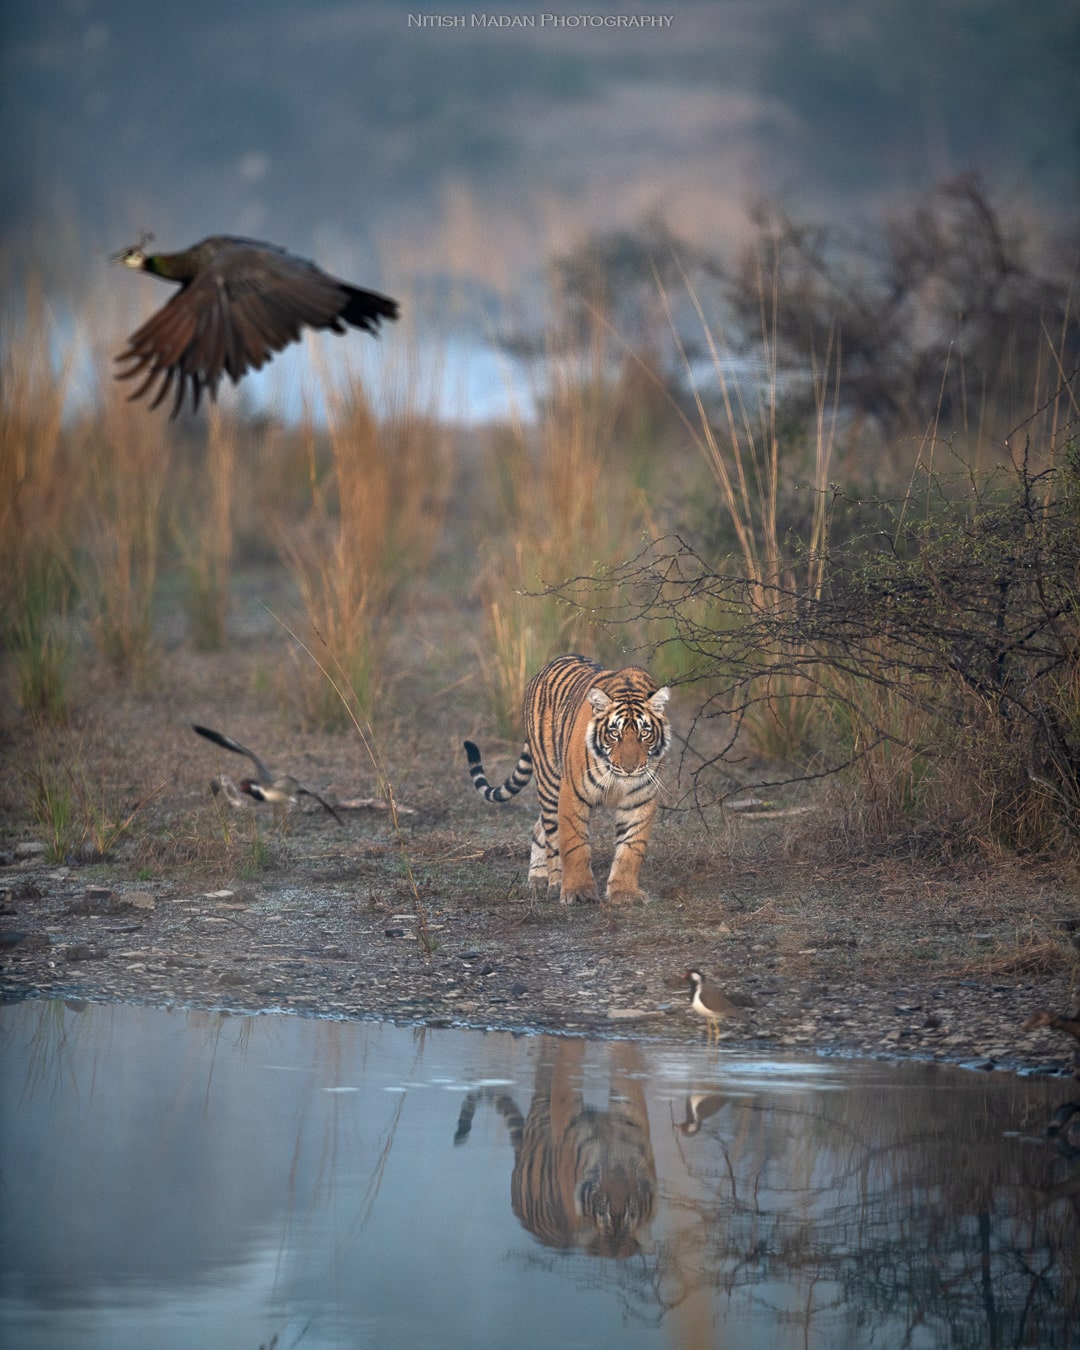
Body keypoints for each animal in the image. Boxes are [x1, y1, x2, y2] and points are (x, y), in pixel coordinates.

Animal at [461, 653, 666, 907]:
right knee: (551, 834)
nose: (630, 769)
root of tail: (545, 667)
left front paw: (624, 892)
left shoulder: (640, 799)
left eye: (644, 734)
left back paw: (538, 877)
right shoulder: (572, 792)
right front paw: (578, 892)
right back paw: (555, 881)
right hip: (550, 782)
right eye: (614, 734)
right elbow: (574, 845)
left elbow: (631, 848)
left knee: (538, 827)